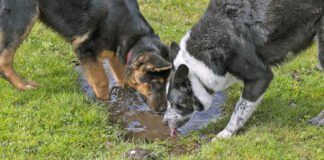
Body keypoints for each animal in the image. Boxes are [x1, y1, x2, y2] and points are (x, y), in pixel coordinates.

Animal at [0, 0, 172, 112]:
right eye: (155, 83)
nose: (163, 110)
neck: (137, 37)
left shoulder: (116, 53)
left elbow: (123, 77)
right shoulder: (85, 49)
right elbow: (101, 81)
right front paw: (105, 104)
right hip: (23, 14)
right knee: (4, 59)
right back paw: (22, 86)